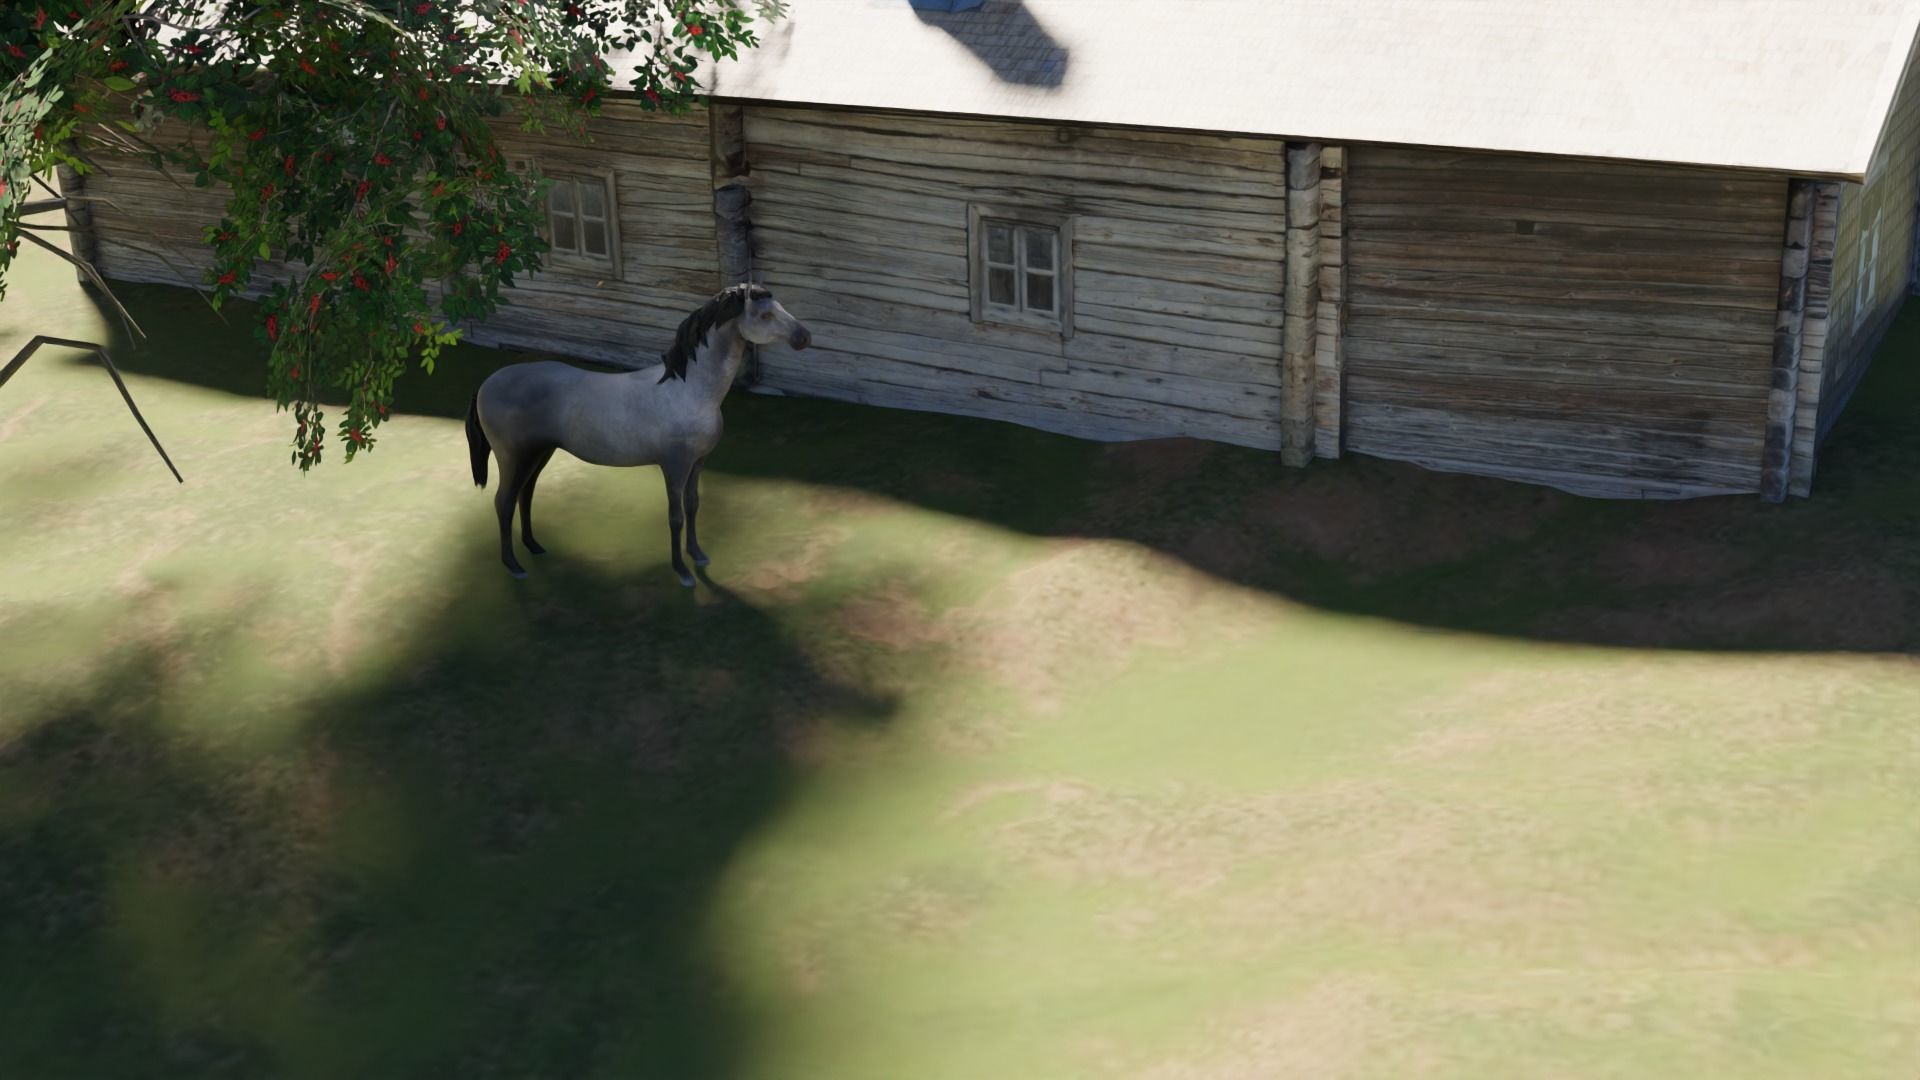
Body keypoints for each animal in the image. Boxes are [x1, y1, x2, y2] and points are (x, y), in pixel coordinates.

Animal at [464, 283, 812, 584]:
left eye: (780, 306)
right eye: (764, 315)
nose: (804, 337)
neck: (690, 390)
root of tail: (486, 384)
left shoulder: (697, 463)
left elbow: (693, 505)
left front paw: (698, 555)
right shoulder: (674, 465)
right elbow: (675, 516)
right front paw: (682, 572)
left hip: (540, 453)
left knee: (526, 494)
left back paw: (535, 547)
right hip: (514, 457)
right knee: (504, 502)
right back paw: (514, 566)